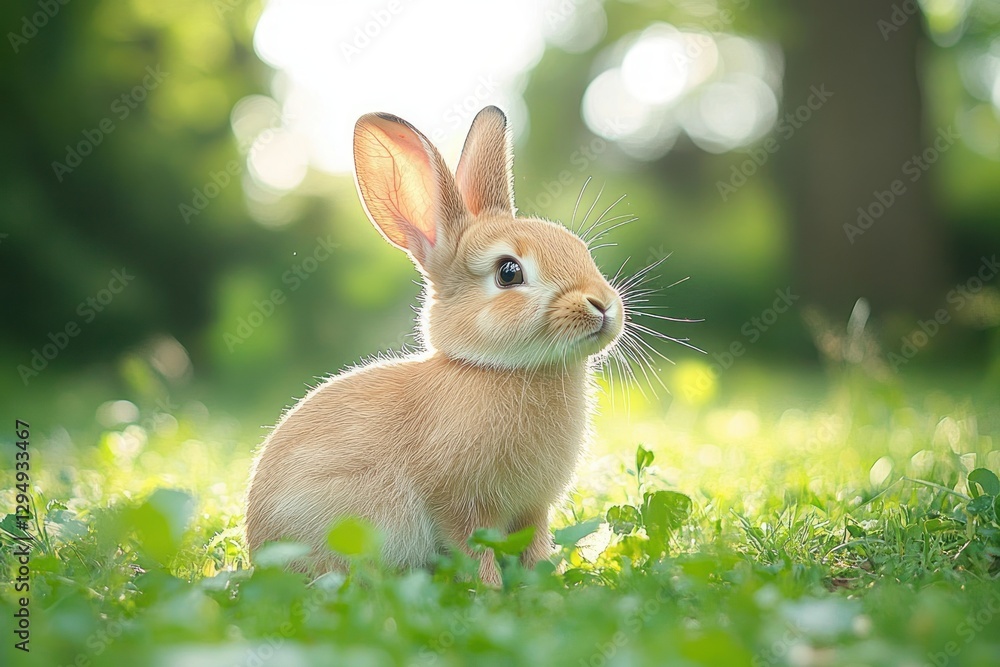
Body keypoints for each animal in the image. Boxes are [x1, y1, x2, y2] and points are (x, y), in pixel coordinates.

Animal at [244, 105, 624, 586]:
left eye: (579, 248)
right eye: (509, 272)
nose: (603, 306)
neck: (496, 369)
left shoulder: (533, 510)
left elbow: (535, 550)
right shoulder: (459, 506)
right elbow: (475, 551)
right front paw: (491, 592)